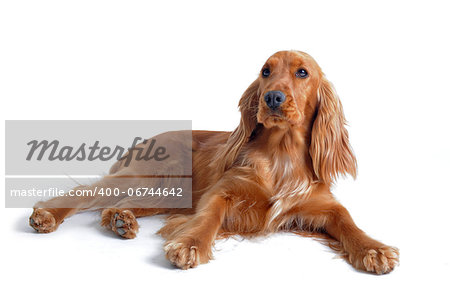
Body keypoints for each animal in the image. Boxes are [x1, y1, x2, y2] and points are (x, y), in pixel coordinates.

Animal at [29, 50, 400, 274]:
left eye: (302, 72)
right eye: (266, 71)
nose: (272, 97)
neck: (281, 155)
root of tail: (145, 141)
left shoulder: (322, 205)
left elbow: (348, 221)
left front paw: (373, 249)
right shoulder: (221, 193)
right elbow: (208, 217)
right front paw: (190, 244)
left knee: (118, 204)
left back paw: (121, 220)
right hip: (148, 176)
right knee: (83, 194)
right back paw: (48, 215)